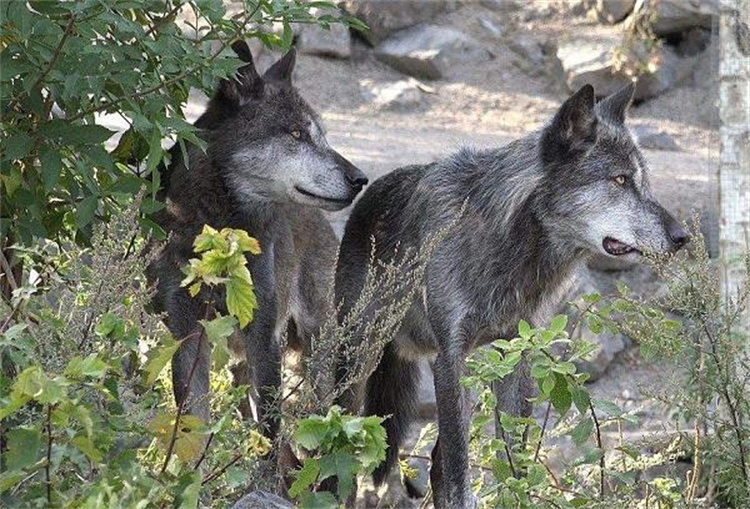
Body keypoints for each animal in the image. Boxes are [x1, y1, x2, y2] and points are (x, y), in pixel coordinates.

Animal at [149, 40, 368, 440]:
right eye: (296, 134)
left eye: (322, 136)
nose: (360, 179)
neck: (220, 234)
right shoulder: (187, 337)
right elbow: (192, 427)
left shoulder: (263, 337)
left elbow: (269, 433)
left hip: (317, 357)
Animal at [338, 82, 692, 504]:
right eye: (620, 180)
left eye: (643, 181)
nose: (682, 237)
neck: (510, 245)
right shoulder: (449, 359)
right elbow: (460, 474)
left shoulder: (516, 354)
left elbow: (513, 461)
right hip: (355, 360)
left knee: (437, 462)